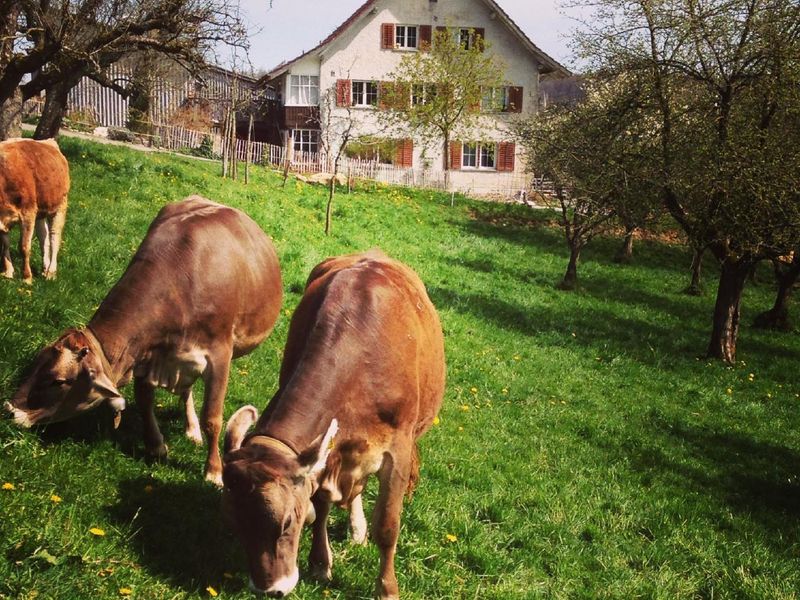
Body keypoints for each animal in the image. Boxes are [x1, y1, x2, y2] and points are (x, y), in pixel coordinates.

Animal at [0, 138, 70, 284]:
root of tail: (48, 141)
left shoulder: (28, 213)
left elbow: (24, 247)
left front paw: (27, 277)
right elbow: (5, 244)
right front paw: (8, 271)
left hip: (60, 206)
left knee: (54, 237)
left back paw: (51, 272)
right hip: (41, 212)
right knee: (44, 238)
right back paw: (44, 269)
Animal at [4, 195, 282, 486]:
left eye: (58, 381)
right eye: (36, 364)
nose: (10, 410)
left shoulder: (219, 355)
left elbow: (213, 417)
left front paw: (214, 471)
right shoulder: (146, 353)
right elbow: (145, 400)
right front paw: (156, 446)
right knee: (186, 389)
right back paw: (190, 429)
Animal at [220, 250, 444, 600]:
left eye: (286, 522)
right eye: (235, 522)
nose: (269, 589)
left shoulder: (398, 450)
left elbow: (387, 526)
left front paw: (387, 589)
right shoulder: (328, 453)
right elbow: (321, 507)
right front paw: (320, 562)